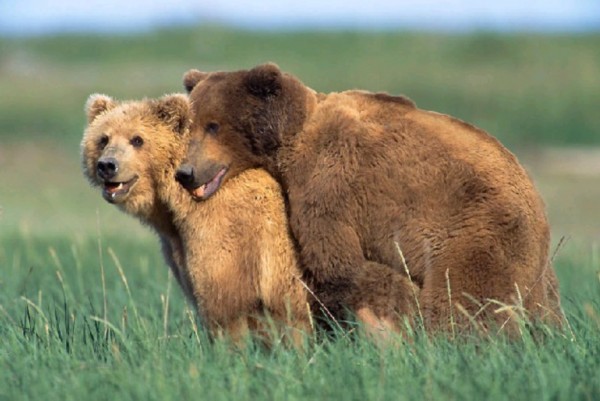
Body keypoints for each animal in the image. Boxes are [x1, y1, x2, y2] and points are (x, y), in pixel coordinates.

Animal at [79, 94, 310, 344]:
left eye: (137, 139)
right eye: (103, 139)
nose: (107, 165)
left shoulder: (231, 234)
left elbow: (227, 306)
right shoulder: (177, 245)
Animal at [177, 63, 564, 334]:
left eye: (214, 125)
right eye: (190, 124)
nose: (186, 172)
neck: (290, 144)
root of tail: (539, 206)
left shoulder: (327, 185)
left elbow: (336, 263)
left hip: (476, 235)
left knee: (464, 304)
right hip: (537, 272)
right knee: (543, 310)